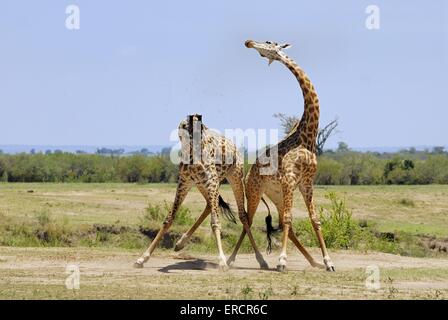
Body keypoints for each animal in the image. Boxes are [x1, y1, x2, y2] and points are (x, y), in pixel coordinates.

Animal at [131, 115, 268, 270]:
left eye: (200, 128)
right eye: (183, 126)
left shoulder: (212, 182)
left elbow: (215, 222)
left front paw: (222, 261)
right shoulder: (184, 182)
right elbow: (168, 219)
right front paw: (142, 258)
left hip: (234, 177)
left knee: (243, 215)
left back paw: (260, 260)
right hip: (201, 184)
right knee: (209, 205)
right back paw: (180, 243)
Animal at [228, 38, 336, 272]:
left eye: (269, 43)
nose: (249, 42)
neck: (308, 134)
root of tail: (248, 173)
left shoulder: (306, 182)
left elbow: (314, 219)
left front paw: (328, 262)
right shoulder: (290, 179)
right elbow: (289, 219)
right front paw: (282, 261)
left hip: (276, 195)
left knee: (282, 221)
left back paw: (313, 262)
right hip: (255, 191)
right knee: (249, 220)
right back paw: (237, 260)